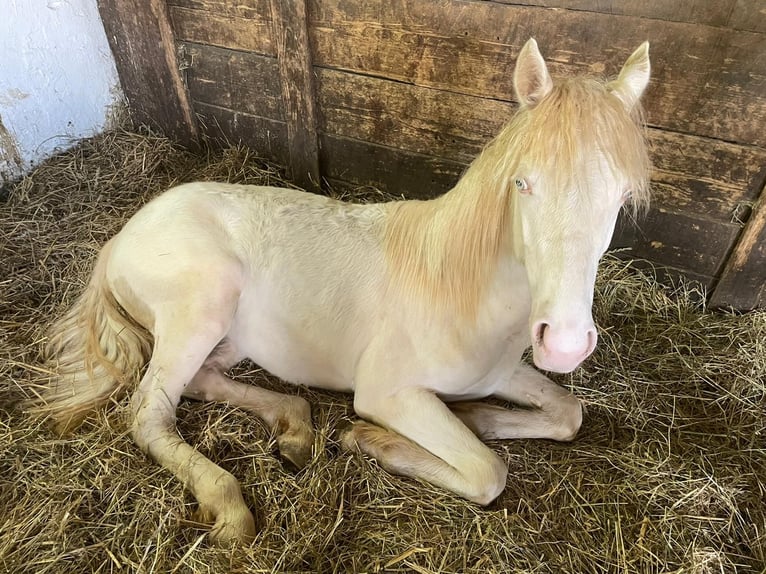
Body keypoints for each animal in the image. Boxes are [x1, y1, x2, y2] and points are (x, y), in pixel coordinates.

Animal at [36, 39, 656, 544]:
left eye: (621, 197)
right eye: (522, 183)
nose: (565, 343)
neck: (458, 292)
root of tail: (119, 239)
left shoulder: (500, 374)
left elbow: (568, 412)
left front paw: (477, 417)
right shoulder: (388, 394)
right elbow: (487, 471)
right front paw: (371, 441)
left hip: (228, 336)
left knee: (202, 382)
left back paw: (294, 431)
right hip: (202, 307)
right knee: (150, 413)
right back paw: (230, 506)